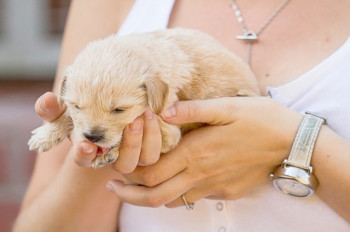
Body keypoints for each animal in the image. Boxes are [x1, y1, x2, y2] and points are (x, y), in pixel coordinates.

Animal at [28, 28, 260, 169]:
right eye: (77, 106)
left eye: (119, 110)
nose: (92, 137)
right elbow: (69, 117)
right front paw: (47, 133)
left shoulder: (170, 130)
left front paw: (108, 153)